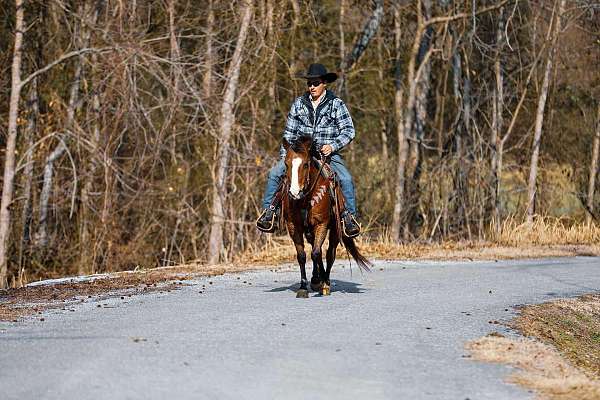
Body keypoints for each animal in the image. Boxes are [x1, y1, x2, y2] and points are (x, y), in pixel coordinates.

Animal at [282, 137, 370, 296]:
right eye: (286, 163)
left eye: (306, 164)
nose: (294, 193)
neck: (305, 199)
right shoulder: (293, 226)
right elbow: (302, 256)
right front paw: (303, 287)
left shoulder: (321, 224)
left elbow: (317, 253)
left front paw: (323, 283)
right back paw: (316, 279)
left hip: (335, 229)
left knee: (329, 254)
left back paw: (324, 281)